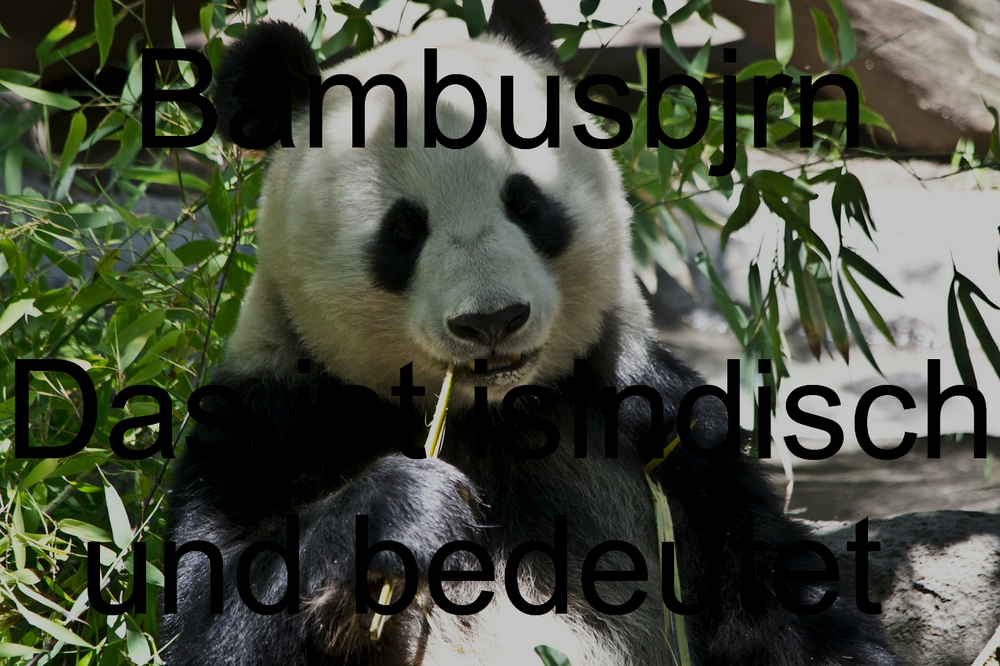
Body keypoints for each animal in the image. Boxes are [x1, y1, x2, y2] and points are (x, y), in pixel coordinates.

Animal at [161, 1, 902, 664]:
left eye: (526, 203)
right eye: (403, 231)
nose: (492, 319)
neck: (488, 417)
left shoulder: (654, 427)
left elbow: (779, 601)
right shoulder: (272, 423)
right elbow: (212, 616)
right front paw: (406, 505)